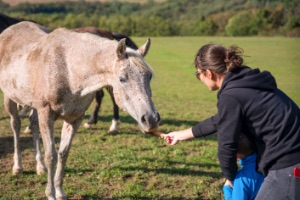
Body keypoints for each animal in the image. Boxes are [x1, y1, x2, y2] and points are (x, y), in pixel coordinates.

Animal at [0, 21, 159, 199]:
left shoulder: (74, 118)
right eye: (122, 79)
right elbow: (51, 156)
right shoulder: (46, 114)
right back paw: (18, 167)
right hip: (10, 98)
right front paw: (50, 194)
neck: (68, 70)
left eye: (149, 76)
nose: (151, 119)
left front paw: (60, 192)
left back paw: (39, 166)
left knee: (33, 125)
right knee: (16, 125)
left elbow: (63, 153)